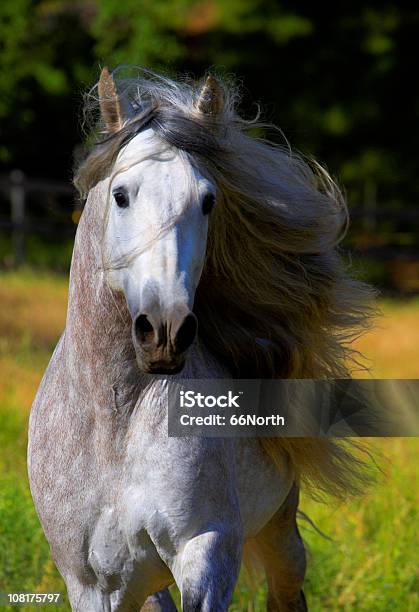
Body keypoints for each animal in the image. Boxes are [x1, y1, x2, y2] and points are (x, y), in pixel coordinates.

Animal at [27, 67, 374, 612]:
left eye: (208, 200)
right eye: (121, 194)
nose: (165, 331)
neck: (113, 425)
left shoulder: (206, 549)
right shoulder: (90, 583)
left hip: (279, 532)